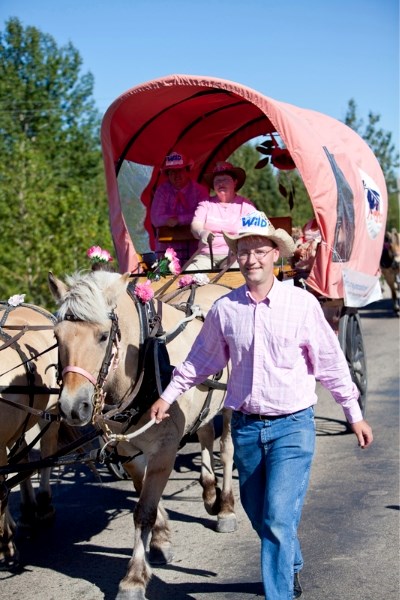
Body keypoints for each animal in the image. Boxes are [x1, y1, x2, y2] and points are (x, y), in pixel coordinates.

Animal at [49, 270, 238, 600]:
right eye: (57, 337)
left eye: (103, 336)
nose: (73, 407)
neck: (145, 359)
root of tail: (215, 285)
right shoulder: (127, 451)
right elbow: (142, 495)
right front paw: (161, 540)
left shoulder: (164, 449)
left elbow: (144, 511)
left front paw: (134, 578)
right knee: (203, 430)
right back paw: (208, 491)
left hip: (228, 403)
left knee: (226, 448)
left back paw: (225, 506)